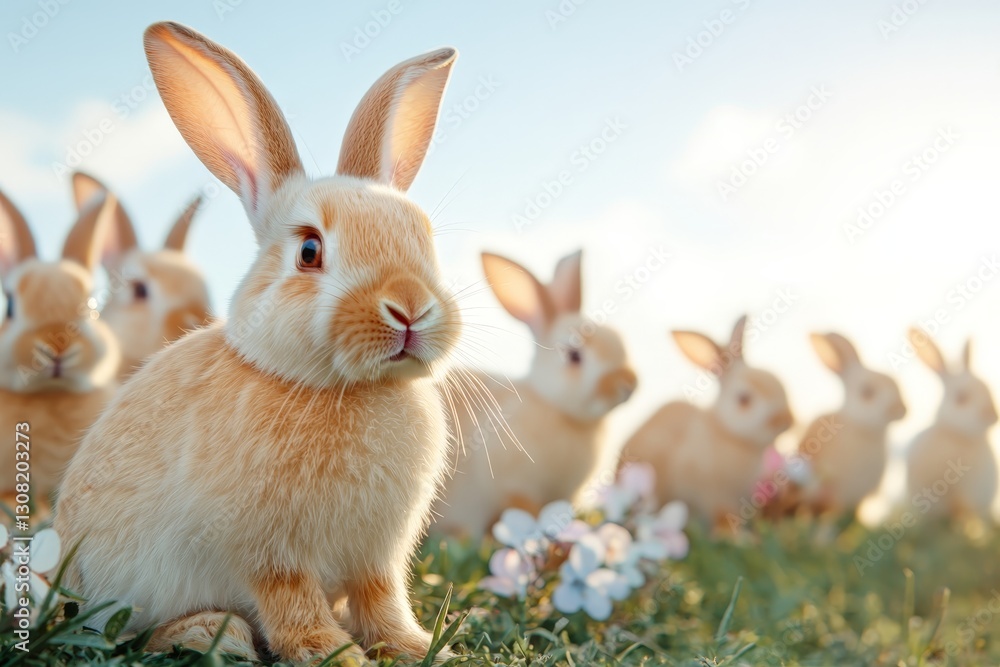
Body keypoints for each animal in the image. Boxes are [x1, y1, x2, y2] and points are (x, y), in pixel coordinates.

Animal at [432, 250, 637, 538]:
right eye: (574, 356)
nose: (629, 383)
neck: (558, 410)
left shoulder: (566, 493)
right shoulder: (512, 479)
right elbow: (524, 505)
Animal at [620, 315, 793, 531]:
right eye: (744, 399)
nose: (786, 420)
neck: (729, 434)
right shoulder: (713, 496)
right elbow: (723, 516)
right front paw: (737, 535)